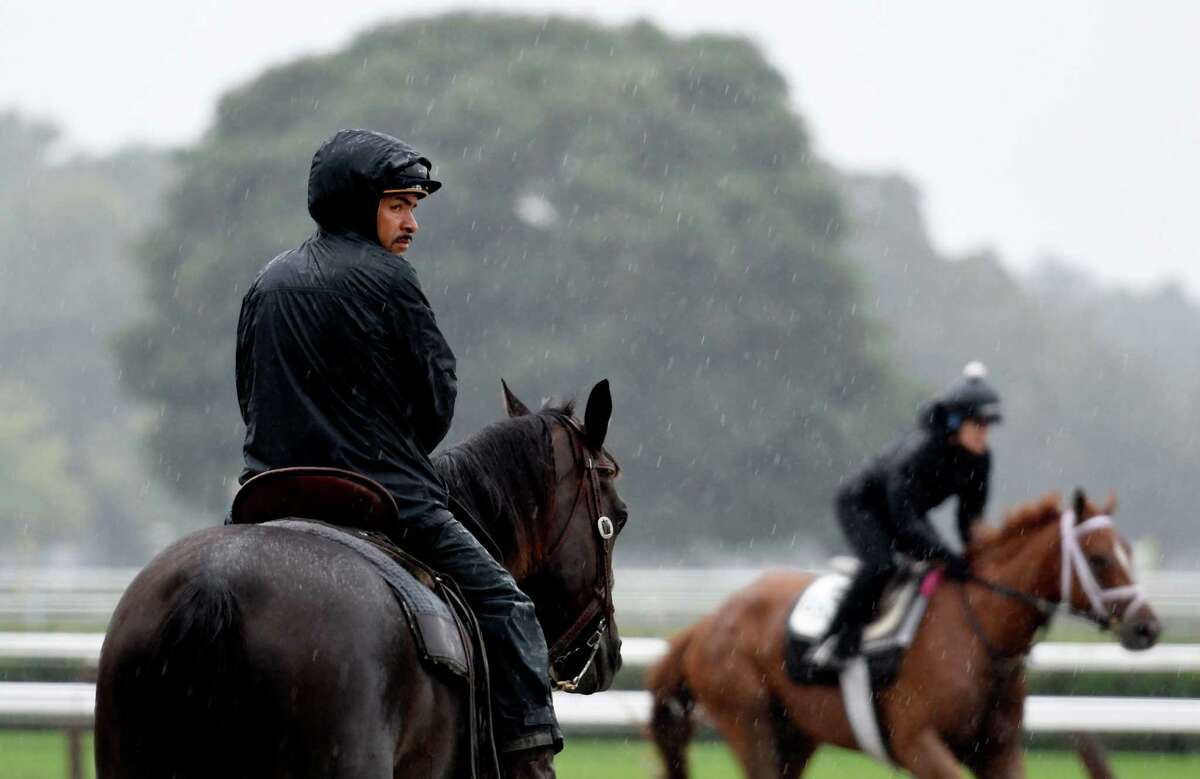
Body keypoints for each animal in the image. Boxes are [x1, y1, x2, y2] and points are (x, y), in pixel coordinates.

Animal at [648, 492, 1161, 777]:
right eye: (1098, 558)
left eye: (1128, 550)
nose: (1148, 626)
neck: (980, 633)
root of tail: (706, 622)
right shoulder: (918, 745)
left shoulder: (996, 752)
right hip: (749, 723)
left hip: (795, 736)